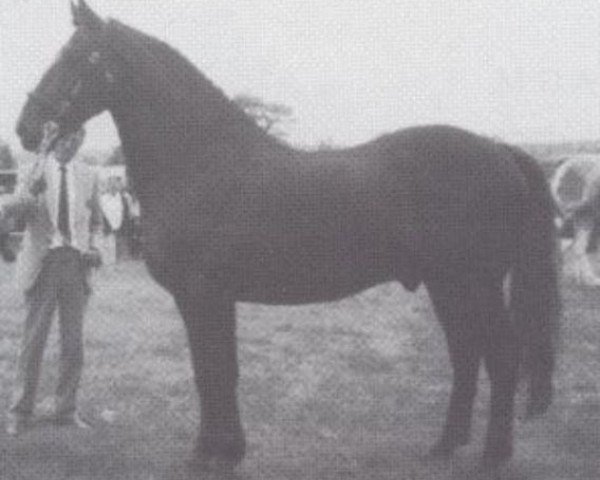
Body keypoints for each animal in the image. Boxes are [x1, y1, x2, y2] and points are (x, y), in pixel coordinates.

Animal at [16, 0, 560, 470]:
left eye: (76, 56)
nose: (26, 128)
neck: (202, 161)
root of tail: (499, 150)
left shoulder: (203, 296)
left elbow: (213, 372)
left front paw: (209, 454)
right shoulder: (211, 299)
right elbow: (218, 371)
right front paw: (227, 450)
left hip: (474, 285)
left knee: (501, 356)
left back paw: (493, 456)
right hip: (448, 287)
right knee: (466, 355)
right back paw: (444, 446)